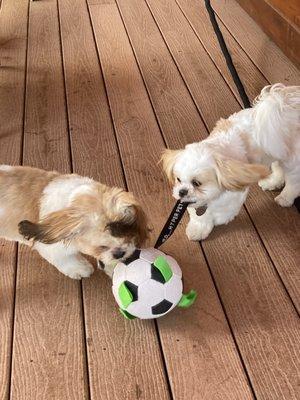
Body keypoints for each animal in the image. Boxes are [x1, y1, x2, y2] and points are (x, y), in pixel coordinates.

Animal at [0, 166, 148, 278]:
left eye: (129, 237)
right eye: (102, 247)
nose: (119, 253)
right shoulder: (51, 247)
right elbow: (65, 259)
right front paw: (80, 268)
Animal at [163, 83, 298, 241]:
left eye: (196, 183)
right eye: (178, 179)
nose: (182, 192)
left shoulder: (233, 193)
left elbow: (221, 211)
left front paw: (216, 220)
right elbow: (198, 215)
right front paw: (198, 228)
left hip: (292, 159)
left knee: (294, 182)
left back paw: (285, 197)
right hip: (277, 149)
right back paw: (272, 182)